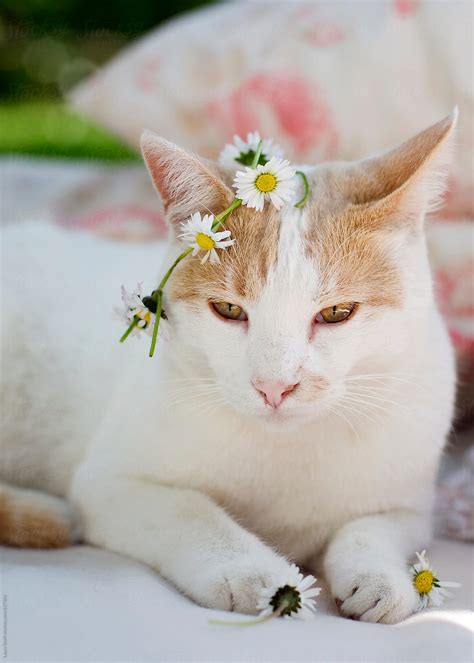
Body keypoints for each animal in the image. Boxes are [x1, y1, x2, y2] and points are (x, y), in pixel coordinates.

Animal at [0, 109, 460, 624]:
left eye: (338, 313)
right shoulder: (110, 485)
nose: (274, 386)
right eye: (228, 310)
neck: (287, 450)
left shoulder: (413, 505)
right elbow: (193, 513)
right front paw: (254, 573)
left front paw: (380, 577)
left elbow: (372, 528)